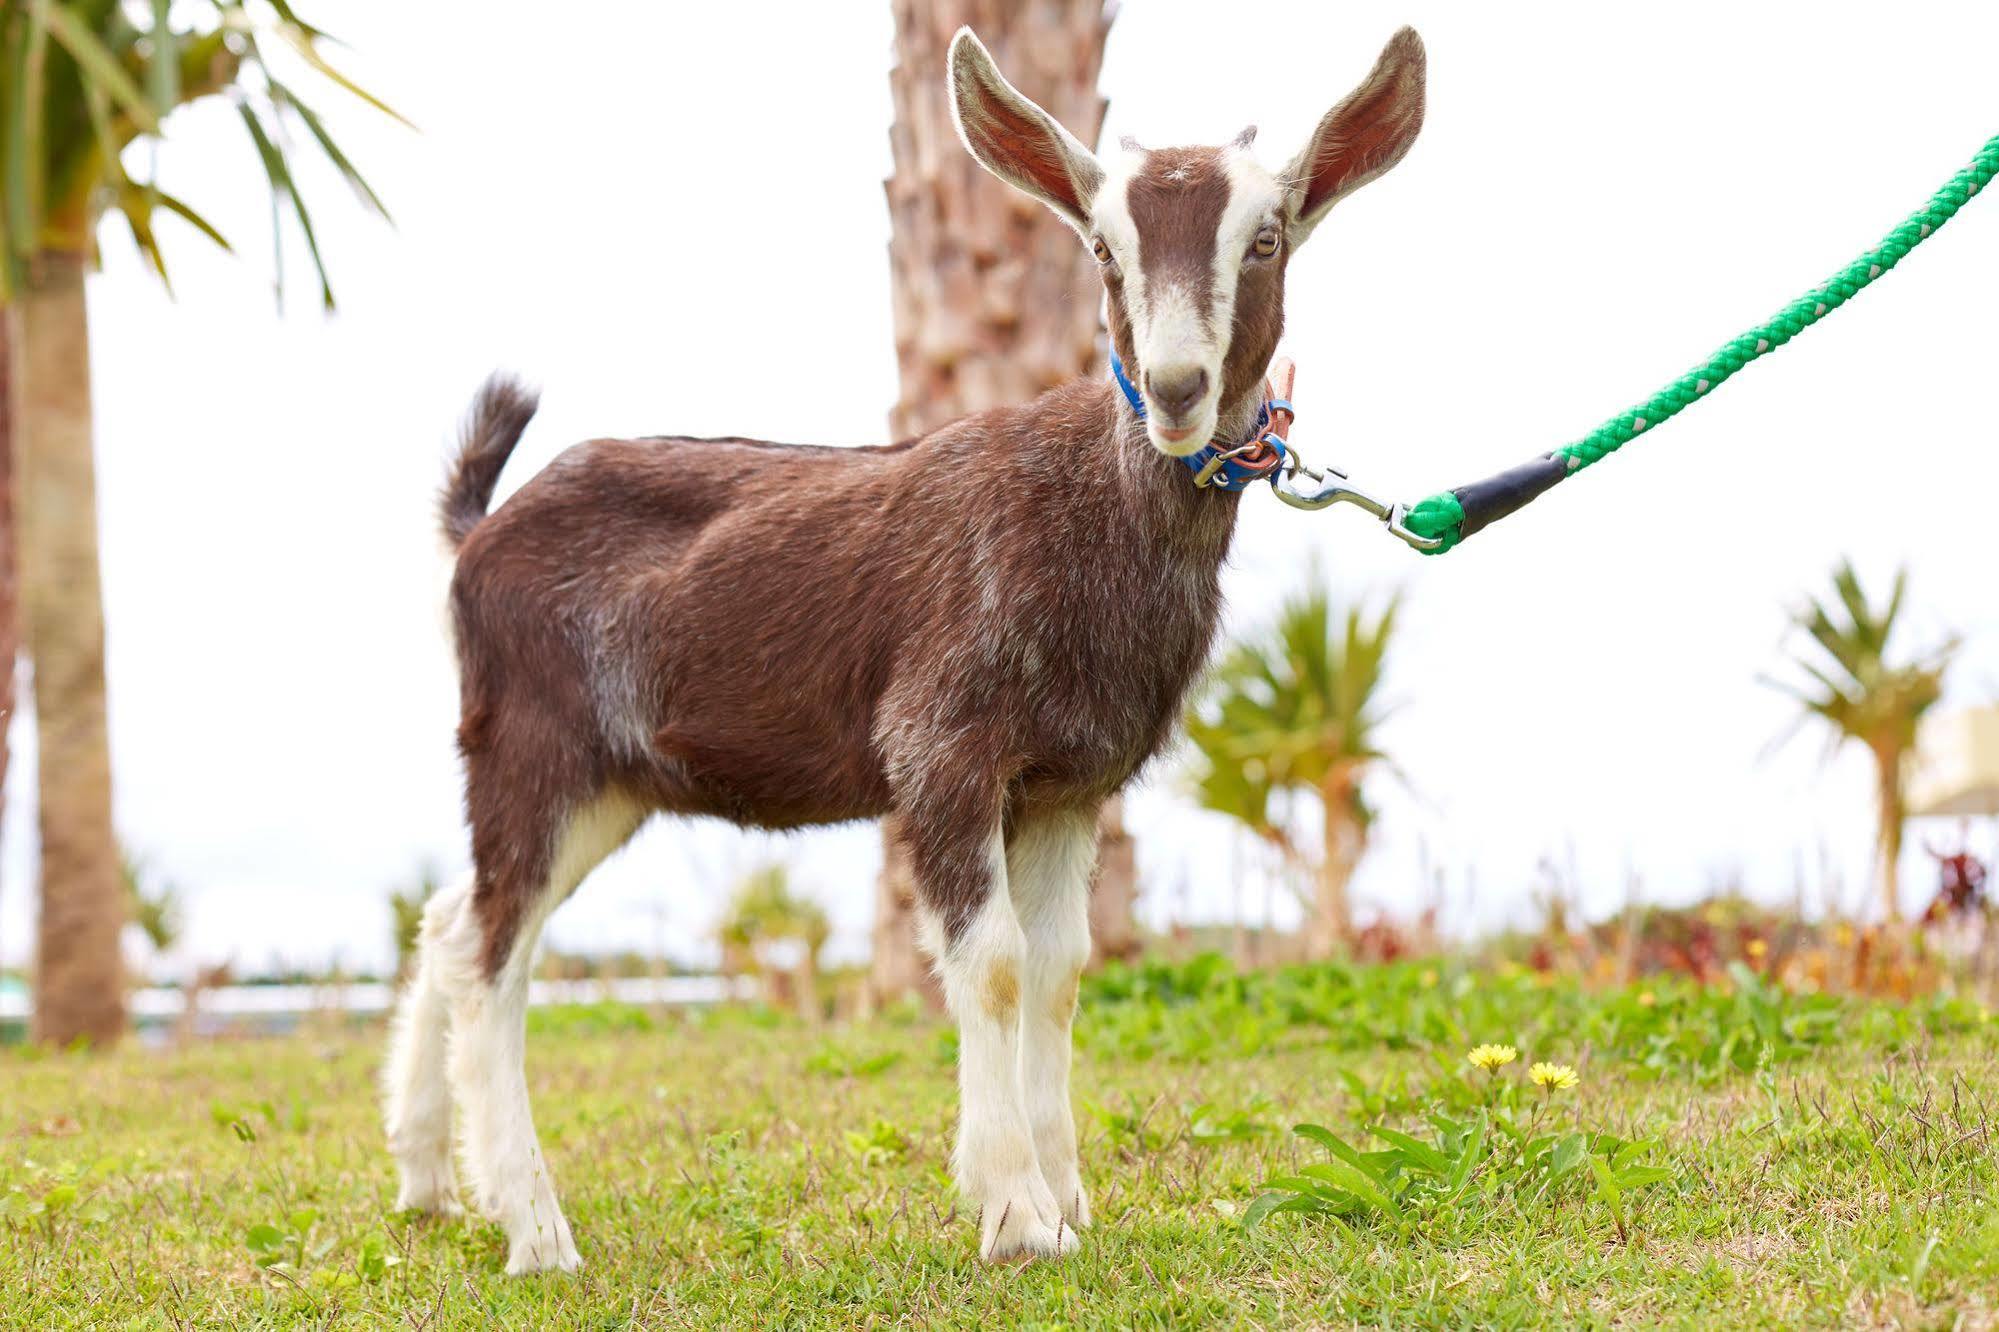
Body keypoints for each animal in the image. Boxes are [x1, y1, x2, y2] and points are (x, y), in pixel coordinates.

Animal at [385, 26, 1423, 1272]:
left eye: (1264, 239)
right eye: (1103, 248)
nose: (1177, 389)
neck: (1093, 516)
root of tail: (477, 532)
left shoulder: (1066, 783)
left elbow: (1061, 971)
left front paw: (1066, 1195)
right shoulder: (943, 749)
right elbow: (993, 963)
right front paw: (1016, 1213)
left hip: (610, 782)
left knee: (453, 921)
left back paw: (432, 1181)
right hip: (532, 745)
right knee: (493, 952)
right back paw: (536, 1229)